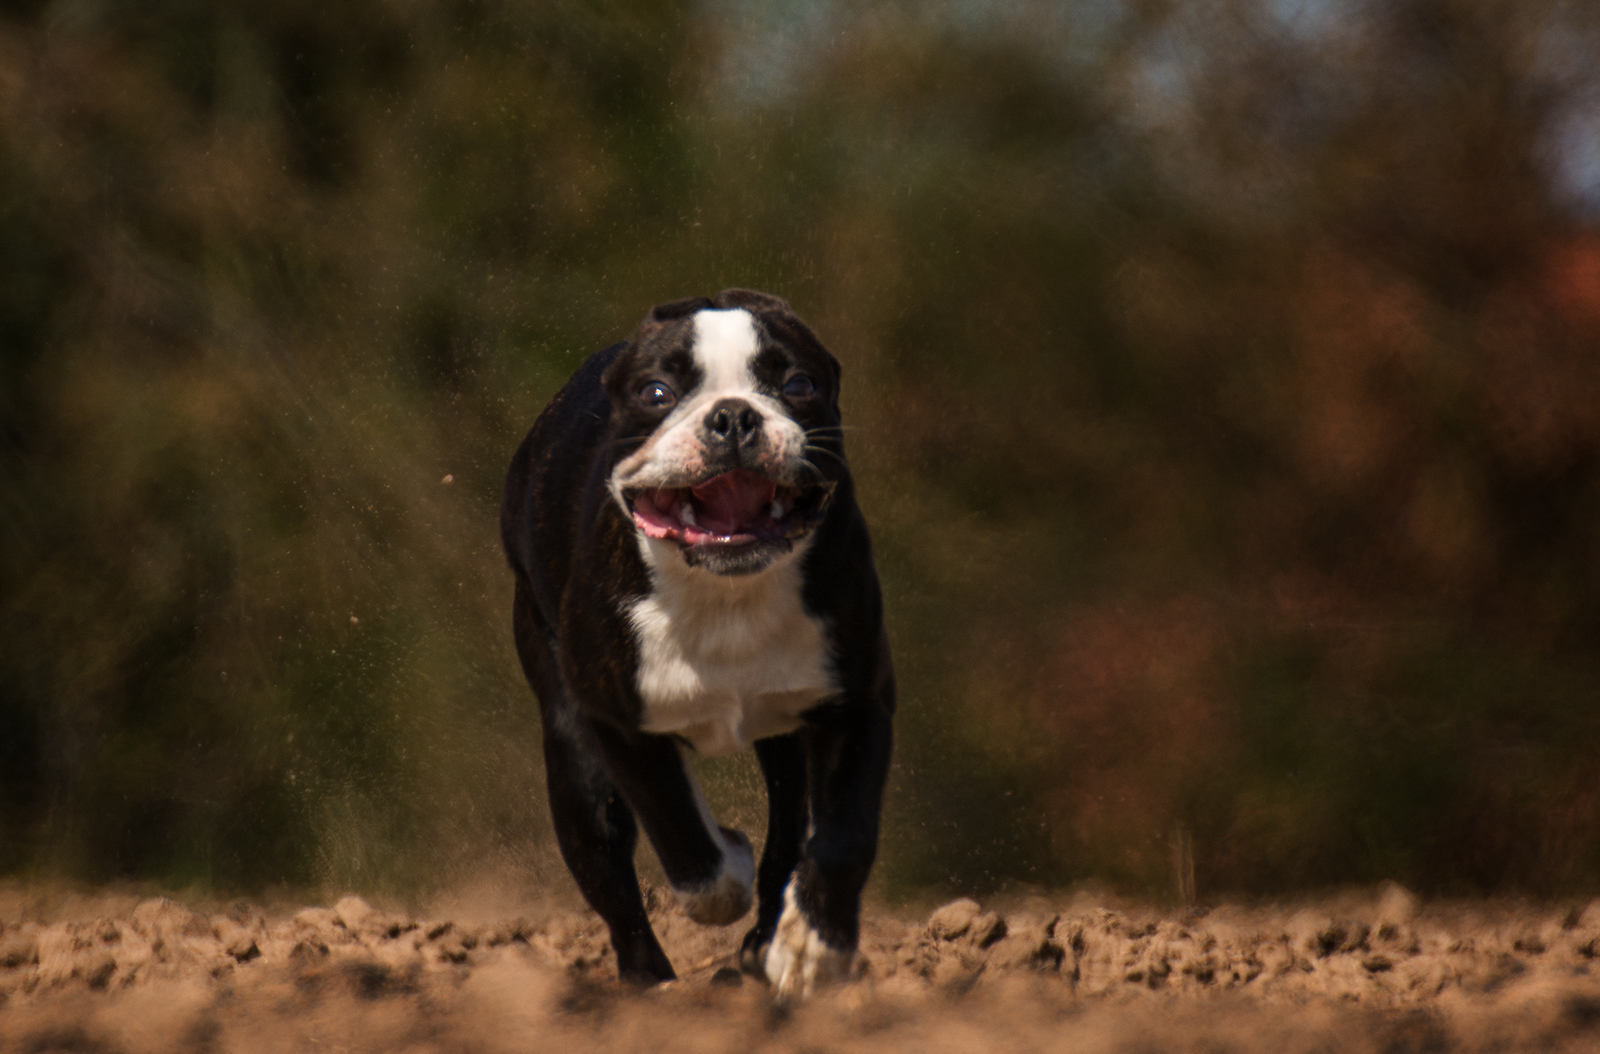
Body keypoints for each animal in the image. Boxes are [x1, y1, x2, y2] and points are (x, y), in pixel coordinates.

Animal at [499, 287, 896, 998]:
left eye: (798, 384)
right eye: (656, 392)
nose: (733, 416)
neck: (725, 590)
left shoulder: (856, 703)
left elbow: (845, 832)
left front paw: (814, 945)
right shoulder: (617, 722)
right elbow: (686, 844)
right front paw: (728, 859)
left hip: (784, 737)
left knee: (790, 824)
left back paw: (765, 941)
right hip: (571, 752)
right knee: (609, 871)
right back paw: (649, 984)